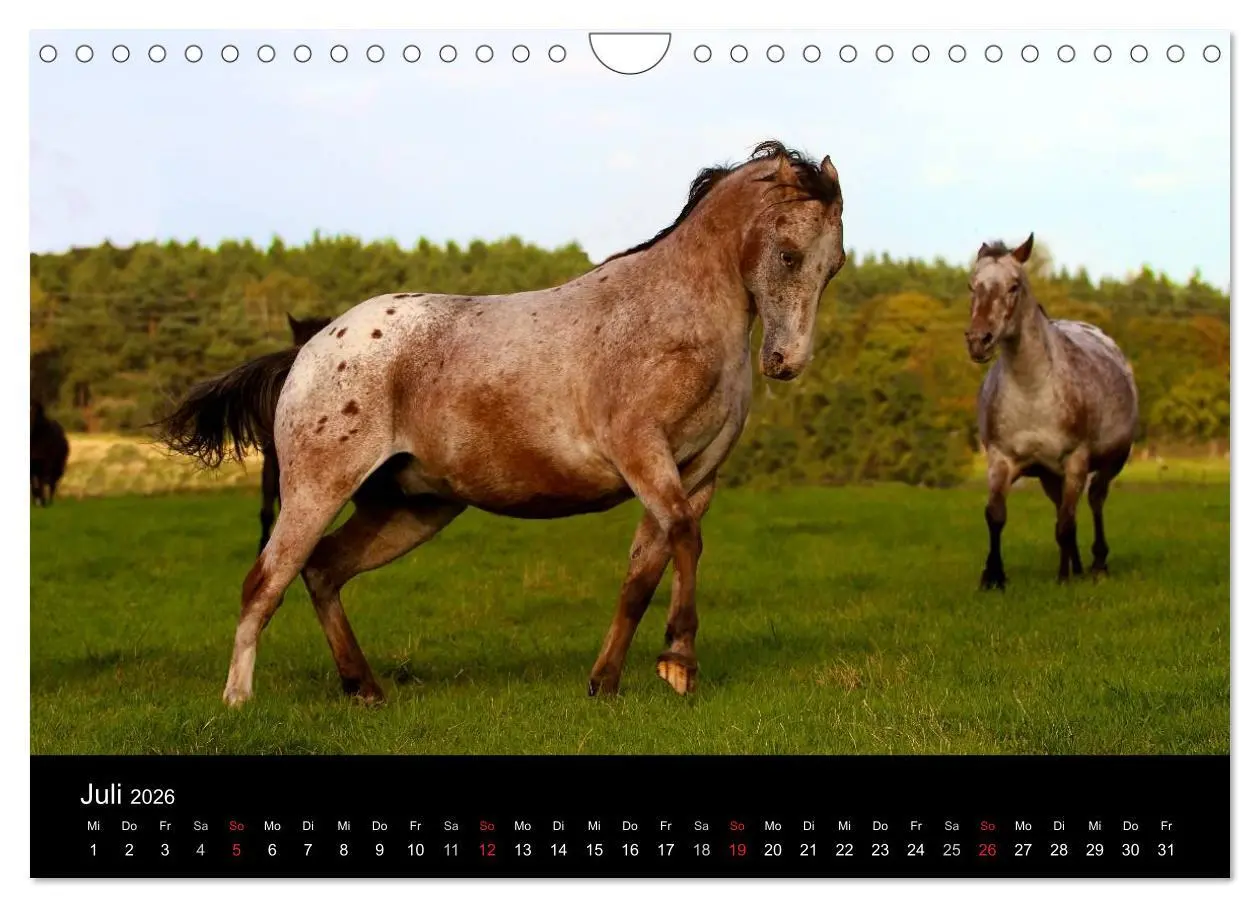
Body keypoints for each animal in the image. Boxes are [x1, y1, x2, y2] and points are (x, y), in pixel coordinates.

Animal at [965, 233, 1138, 588]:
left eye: (1014, 286)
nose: (978, 341)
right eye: (972, 285)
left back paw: (1097, 565)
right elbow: (996, 515)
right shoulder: (1001, 459)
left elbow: (1066, 524)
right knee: (1064, 508)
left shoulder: (1075, 461)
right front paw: (994, 577)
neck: (1033, 390)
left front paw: (1062, 579)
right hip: (1050, 476)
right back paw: (1078, 566)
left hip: (1111, 461)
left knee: (1095, 500)